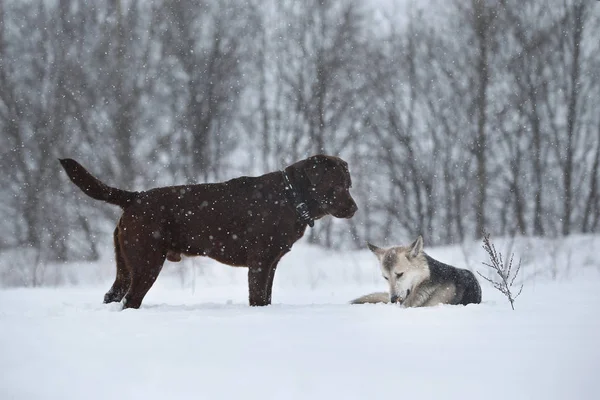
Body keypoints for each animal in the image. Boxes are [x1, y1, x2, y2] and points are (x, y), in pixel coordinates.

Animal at [59, 155, 356, 308]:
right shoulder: (260, 262)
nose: (354, 208)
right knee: (131, 299)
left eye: (348, 184)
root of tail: (135, 197)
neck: (291, 197)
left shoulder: (271, 263)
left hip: (125, 265)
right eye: (336, 185)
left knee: (113, 295)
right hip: (147, 263)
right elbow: (258, 297)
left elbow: (267, 298)